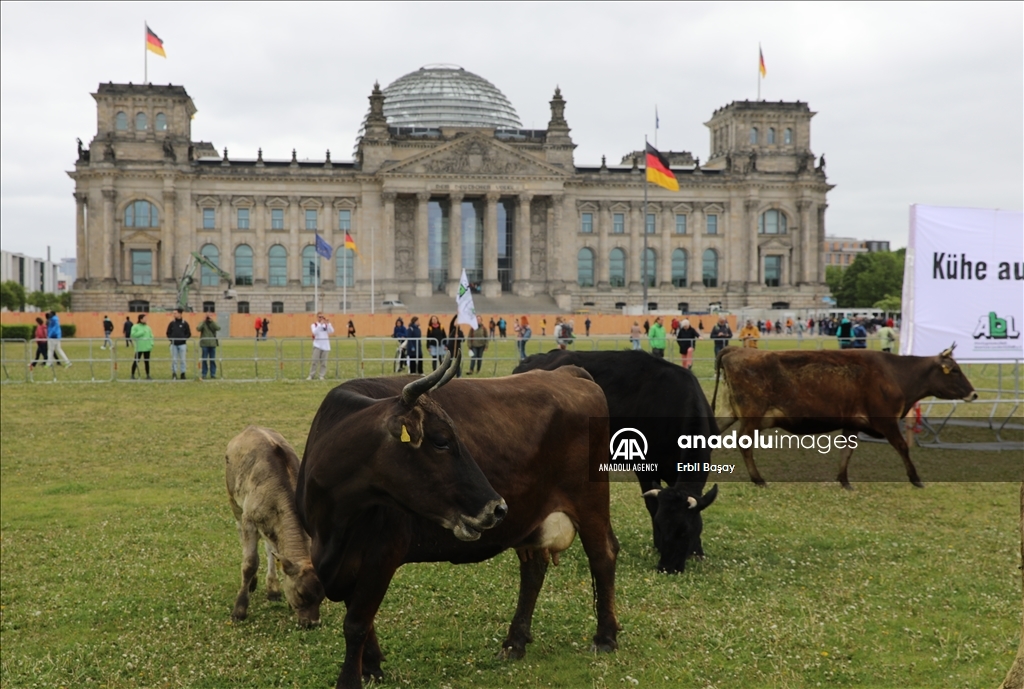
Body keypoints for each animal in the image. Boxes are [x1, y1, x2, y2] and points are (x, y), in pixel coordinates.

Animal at [227, 421, 323, 626]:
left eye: (322, 597)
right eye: (301, 594)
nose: (313, 624)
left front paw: (275, 590)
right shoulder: (249, 519)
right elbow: (250, 562)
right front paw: (239, 610)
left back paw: (272, 589)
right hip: (234, 502)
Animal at [512, 346, 720, 573]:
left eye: (684, 530)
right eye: (660, 525)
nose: (666, 567)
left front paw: (697, 552)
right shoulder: (644, 466)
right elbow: (651, 505)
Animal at [712, 341, 974, 483]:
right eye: (954, 370)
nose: (973, 394)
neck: (896, 373)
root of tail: (735, 350)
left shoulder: (853, 423)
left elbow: (847, 450)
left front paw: (844, 480)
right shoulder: (886, 421)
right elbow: (902, 446)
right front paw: (915, 478)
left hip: (728, 411)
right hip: (752, 415)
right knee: (744, 443)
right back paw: (758, 479)